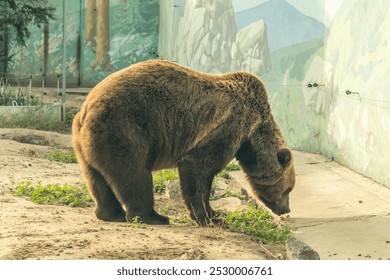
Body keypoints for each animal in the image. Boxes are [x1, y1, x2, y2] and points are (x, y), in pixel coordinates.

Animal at [71, 59, 294, 225]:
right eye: (288, 189)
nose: (286, 210)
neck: (251, 137)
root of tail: (87, 108)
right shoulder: (226, 128)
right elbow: (199, 169)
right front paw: (211, 217)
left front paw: (216, 214)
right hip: (125, 129)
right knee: (134, 175)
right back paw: (154, 216)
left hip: (85, 144)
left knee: (97, 179)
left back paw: (111, 213)